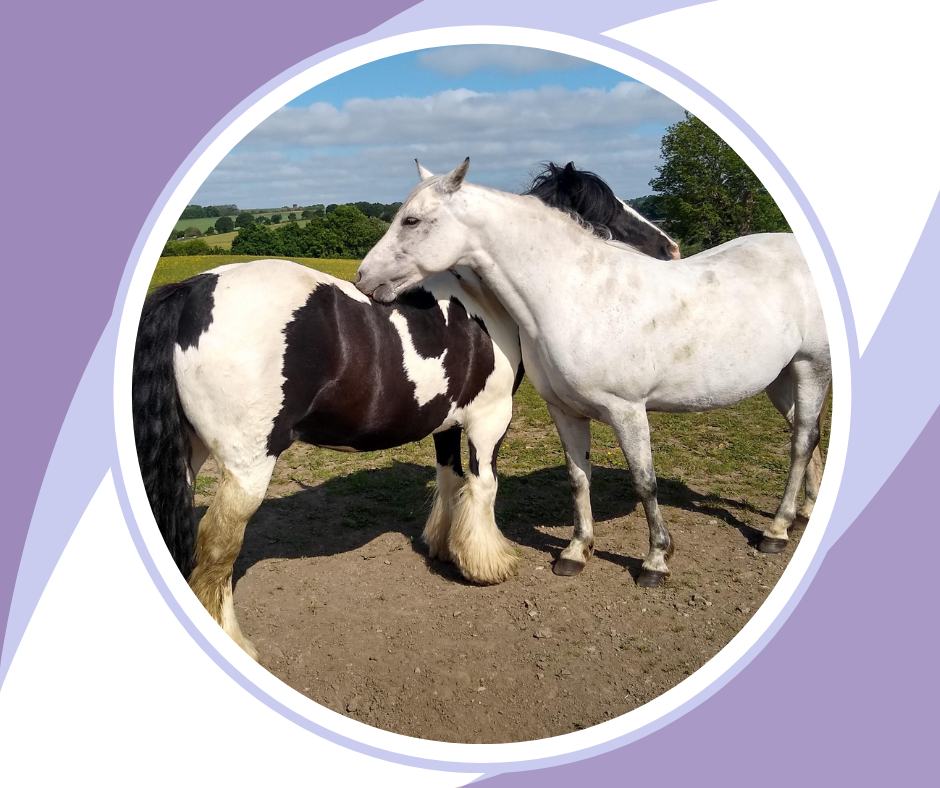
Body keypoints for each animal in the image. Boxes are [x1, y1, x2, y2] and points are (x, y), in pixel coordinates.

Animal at [134, 160, 676, 660]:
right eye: (604, 210)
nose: (668, 249)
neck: (482, 302)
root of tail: (192, 293)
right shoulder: (489, 420)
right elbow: (483, 487)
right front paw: (489, 564)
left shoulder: (446, 423)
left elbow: (450, 481)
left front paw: (445, 548)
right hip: (247, 467)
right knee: (217, 549)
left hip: (191, 457)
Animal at [354, 159, 828, 584]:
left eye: (412, 220)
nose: (363, 279)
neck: (576, 294)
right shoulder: (563, 411)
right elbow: (578, 479)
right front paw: (576, 552)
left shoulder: (629, 411)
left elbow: (644, 483)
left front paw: (656, 560)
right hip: (781, 378)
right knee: (807, 436)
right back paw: (805, 513)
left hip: (811, 368)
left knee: (801, 441)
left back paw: (776, 530)